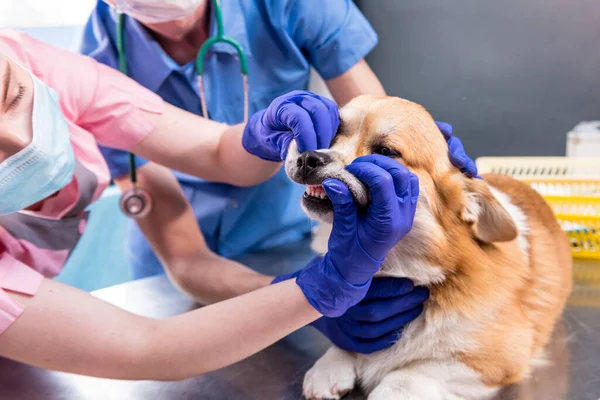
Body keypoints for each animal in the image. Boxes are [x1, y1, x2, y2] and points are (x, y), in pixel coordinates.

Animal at [282, 95, 572, 398]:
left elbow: (411, 372)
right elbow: (345, 339)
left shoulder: (497, 358)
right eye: (335, 132)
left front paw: (392, 389)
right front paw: (331, 365)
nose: (308, 158)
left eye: (385, 151)